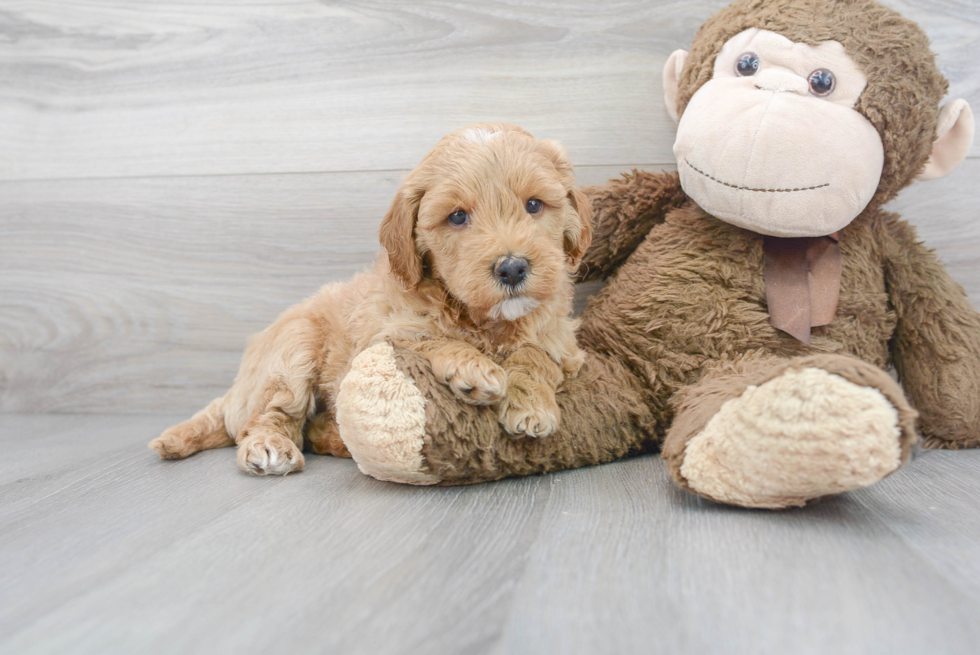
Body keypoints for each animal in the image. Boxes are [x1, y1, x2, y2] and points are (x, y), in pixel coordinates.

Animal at [145, 123, 588, 474]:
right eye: (458, 217)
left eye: (534, 205)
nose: (512, 268)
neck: (483, 319)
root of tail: (237, 388)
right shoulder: (380, 335)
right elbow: (428, 339)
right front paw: (473, 368)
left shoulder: (561, 342)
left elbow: (535, 356)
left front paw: (530, 405)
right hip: (293, 347)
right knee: (270, 417)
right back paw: (271, 446)